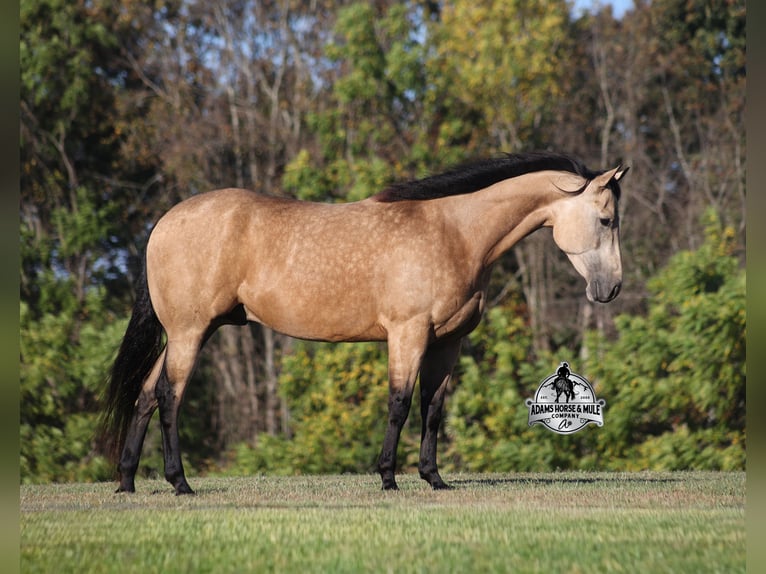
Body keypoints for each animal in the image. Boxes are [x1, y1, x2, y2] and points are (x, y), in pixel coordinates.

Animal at [98, 151, 628, 495]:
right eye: (607, 220)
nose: (611, 289)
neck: (454, 232)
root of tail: (163, 223)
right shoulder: (407, 333)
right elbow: (399, 403)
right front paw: (389, 477)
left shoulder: (447, 344)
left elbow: (432, 409)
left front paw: (434, 478)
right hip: (189, 333)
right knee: (169, 396)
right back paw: (179, 483)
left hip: (185, 333)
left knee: (146, 394)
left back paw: (127, 481)